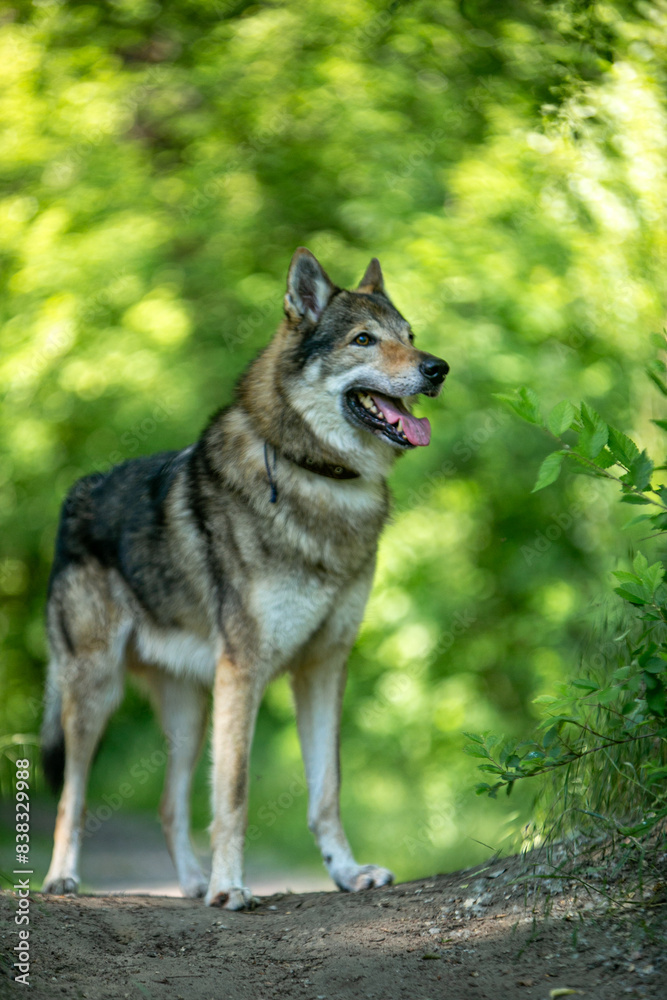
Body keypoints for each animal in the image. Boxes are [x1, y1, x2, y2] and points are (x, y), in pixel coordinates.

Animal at [41, 249, 449, 909]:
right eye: (365, 340)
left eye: (410, 337)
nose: (438, 368)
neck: (320, 478)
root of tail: (74, 497)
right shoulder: (246, 671)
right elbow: (233, 792)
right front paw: (232, 886)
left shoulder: (323, 667)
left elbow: (326, 791)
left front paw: (346, 873)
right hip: (95, 694)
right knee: (70, 798)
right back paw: (63, 879)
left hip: (189, 714)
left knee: (167, 805)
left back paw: (190, 883)